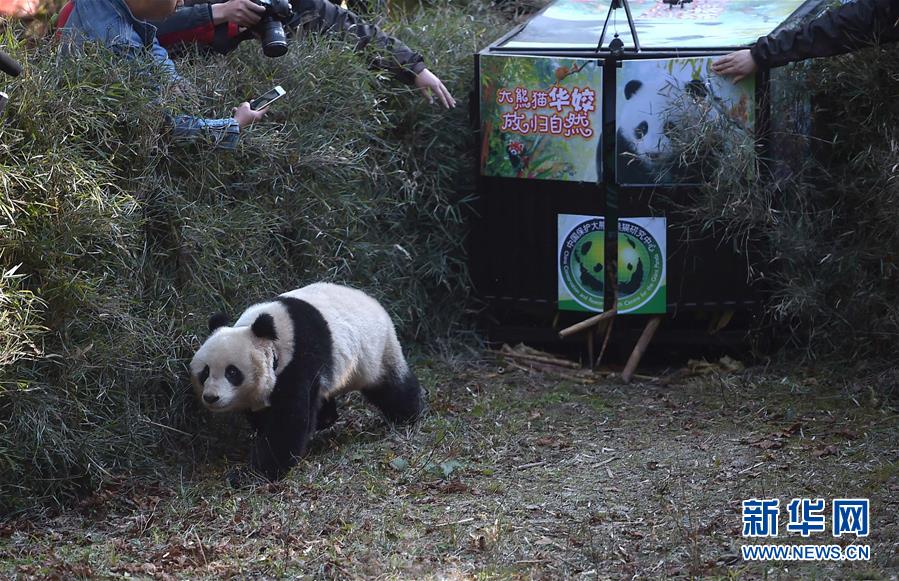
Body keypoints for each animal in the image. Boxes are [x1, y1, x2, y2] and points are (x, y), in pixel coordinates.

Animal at [187, 282, 426, 480]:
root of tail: (374, 301)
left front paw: (255, 472)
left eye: (232, 372)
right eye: (205, 372)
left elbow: (289, 420)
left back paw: (410, 413)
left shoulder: (299, 359)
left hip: (375, 351)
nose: (211, 397)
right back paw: (326, 417)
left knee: (392, 387)